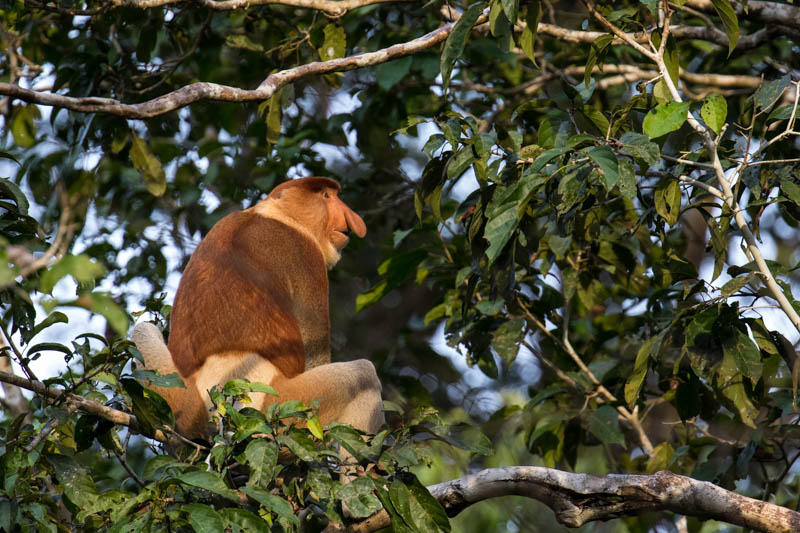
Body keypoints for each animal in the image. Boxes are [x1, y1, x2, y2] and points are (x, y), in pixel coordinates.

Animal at [131, 177, 384, 438]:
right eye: (326, 196)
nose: (353, 220)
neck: (275, 213)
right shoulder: (306, 255)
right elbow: (315, 354)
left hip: (183, 400)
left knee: (142, 330)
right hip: (284, 407)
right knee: (363, 375)